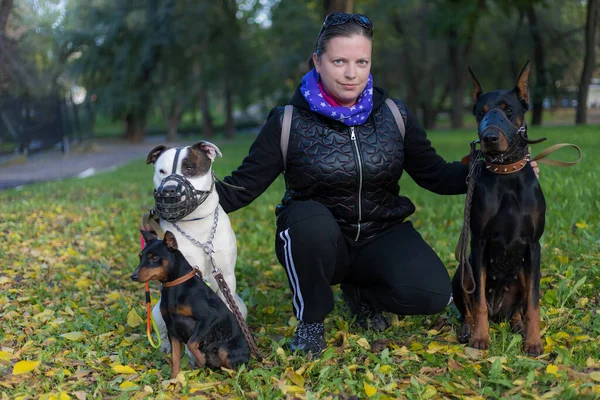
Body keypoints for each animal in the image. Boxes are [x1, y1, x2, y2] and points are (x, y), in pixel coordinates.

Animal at [132, 230, 250, 376]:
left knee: (237, 369)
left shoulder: (208, 318)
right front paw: (174, 379)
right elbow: (175, 359)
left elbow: (191, 342)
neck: (175, 286)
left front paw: (200, 358)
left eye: (154, 258)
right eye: (140, 257)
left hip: (226, 350)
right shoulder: (172, 329)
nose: (133, 276)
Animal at [145, 141, 246, 354]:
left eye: (189, 169)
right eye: (161, 171)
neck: (195, 222)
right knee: (164, 330)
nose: (169, 190)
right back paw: (165, 346)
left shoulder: (226, 275)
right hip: (157, 310)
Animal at [452, 61, 548, 354]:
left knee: (518, 308)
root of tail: (499, 312)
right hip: (462, 271)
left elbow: (533, 304)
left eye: (508, 110)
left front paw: (534, 341)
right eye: (481, 113)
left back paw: (518, 326)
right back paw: (468, 329)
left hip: (522, 275)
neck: (506, 174)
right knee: (470, 307)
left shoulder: (534, 245)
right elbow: (478, 302)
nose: (490, 137)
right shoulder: (479, 242)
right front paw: (480, 338)